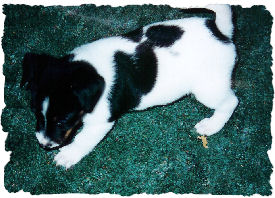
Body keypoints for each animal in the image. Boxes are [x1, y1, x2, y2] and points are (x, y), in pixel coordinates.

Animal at [20, 4, 239, 169]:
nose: (44, 144)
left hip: (207, 88)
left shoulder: (101, 122)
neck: (88, 68)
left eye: (63, 120)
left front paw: (67, 155)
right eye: (36, 113)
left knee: (231, 101)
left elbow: (83, 139)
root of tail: (220, 31)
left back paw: (211, 125)